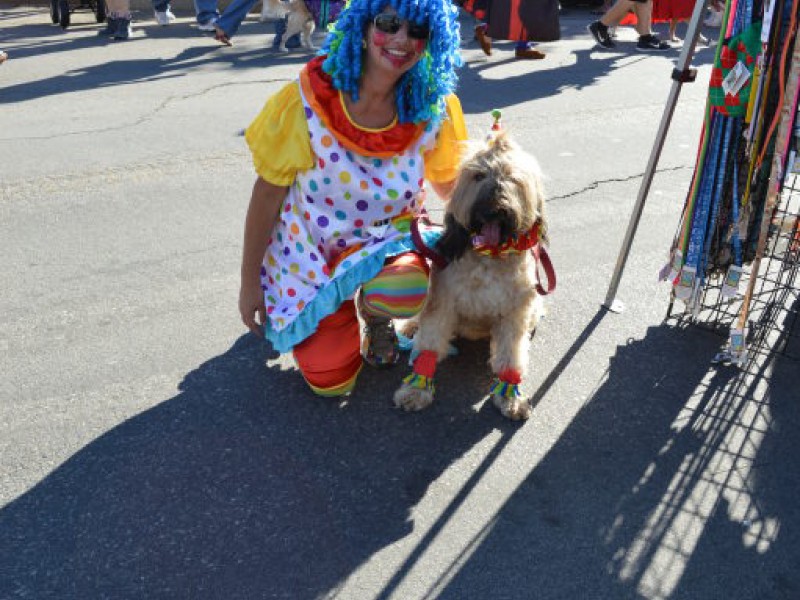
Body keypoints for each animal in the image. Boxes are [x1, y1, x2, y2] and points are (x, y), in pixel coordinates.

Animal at [396, 133, 552, 420]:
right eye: (479, 176)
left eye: (512, 177)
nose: (495, 210)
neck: (489, 255)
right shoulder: (442, 302)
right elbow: (429, 343)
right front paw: (416, 389)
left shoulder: (515, 313)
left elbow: (511, 355)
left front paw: (510, 395)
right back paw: (410, 325)